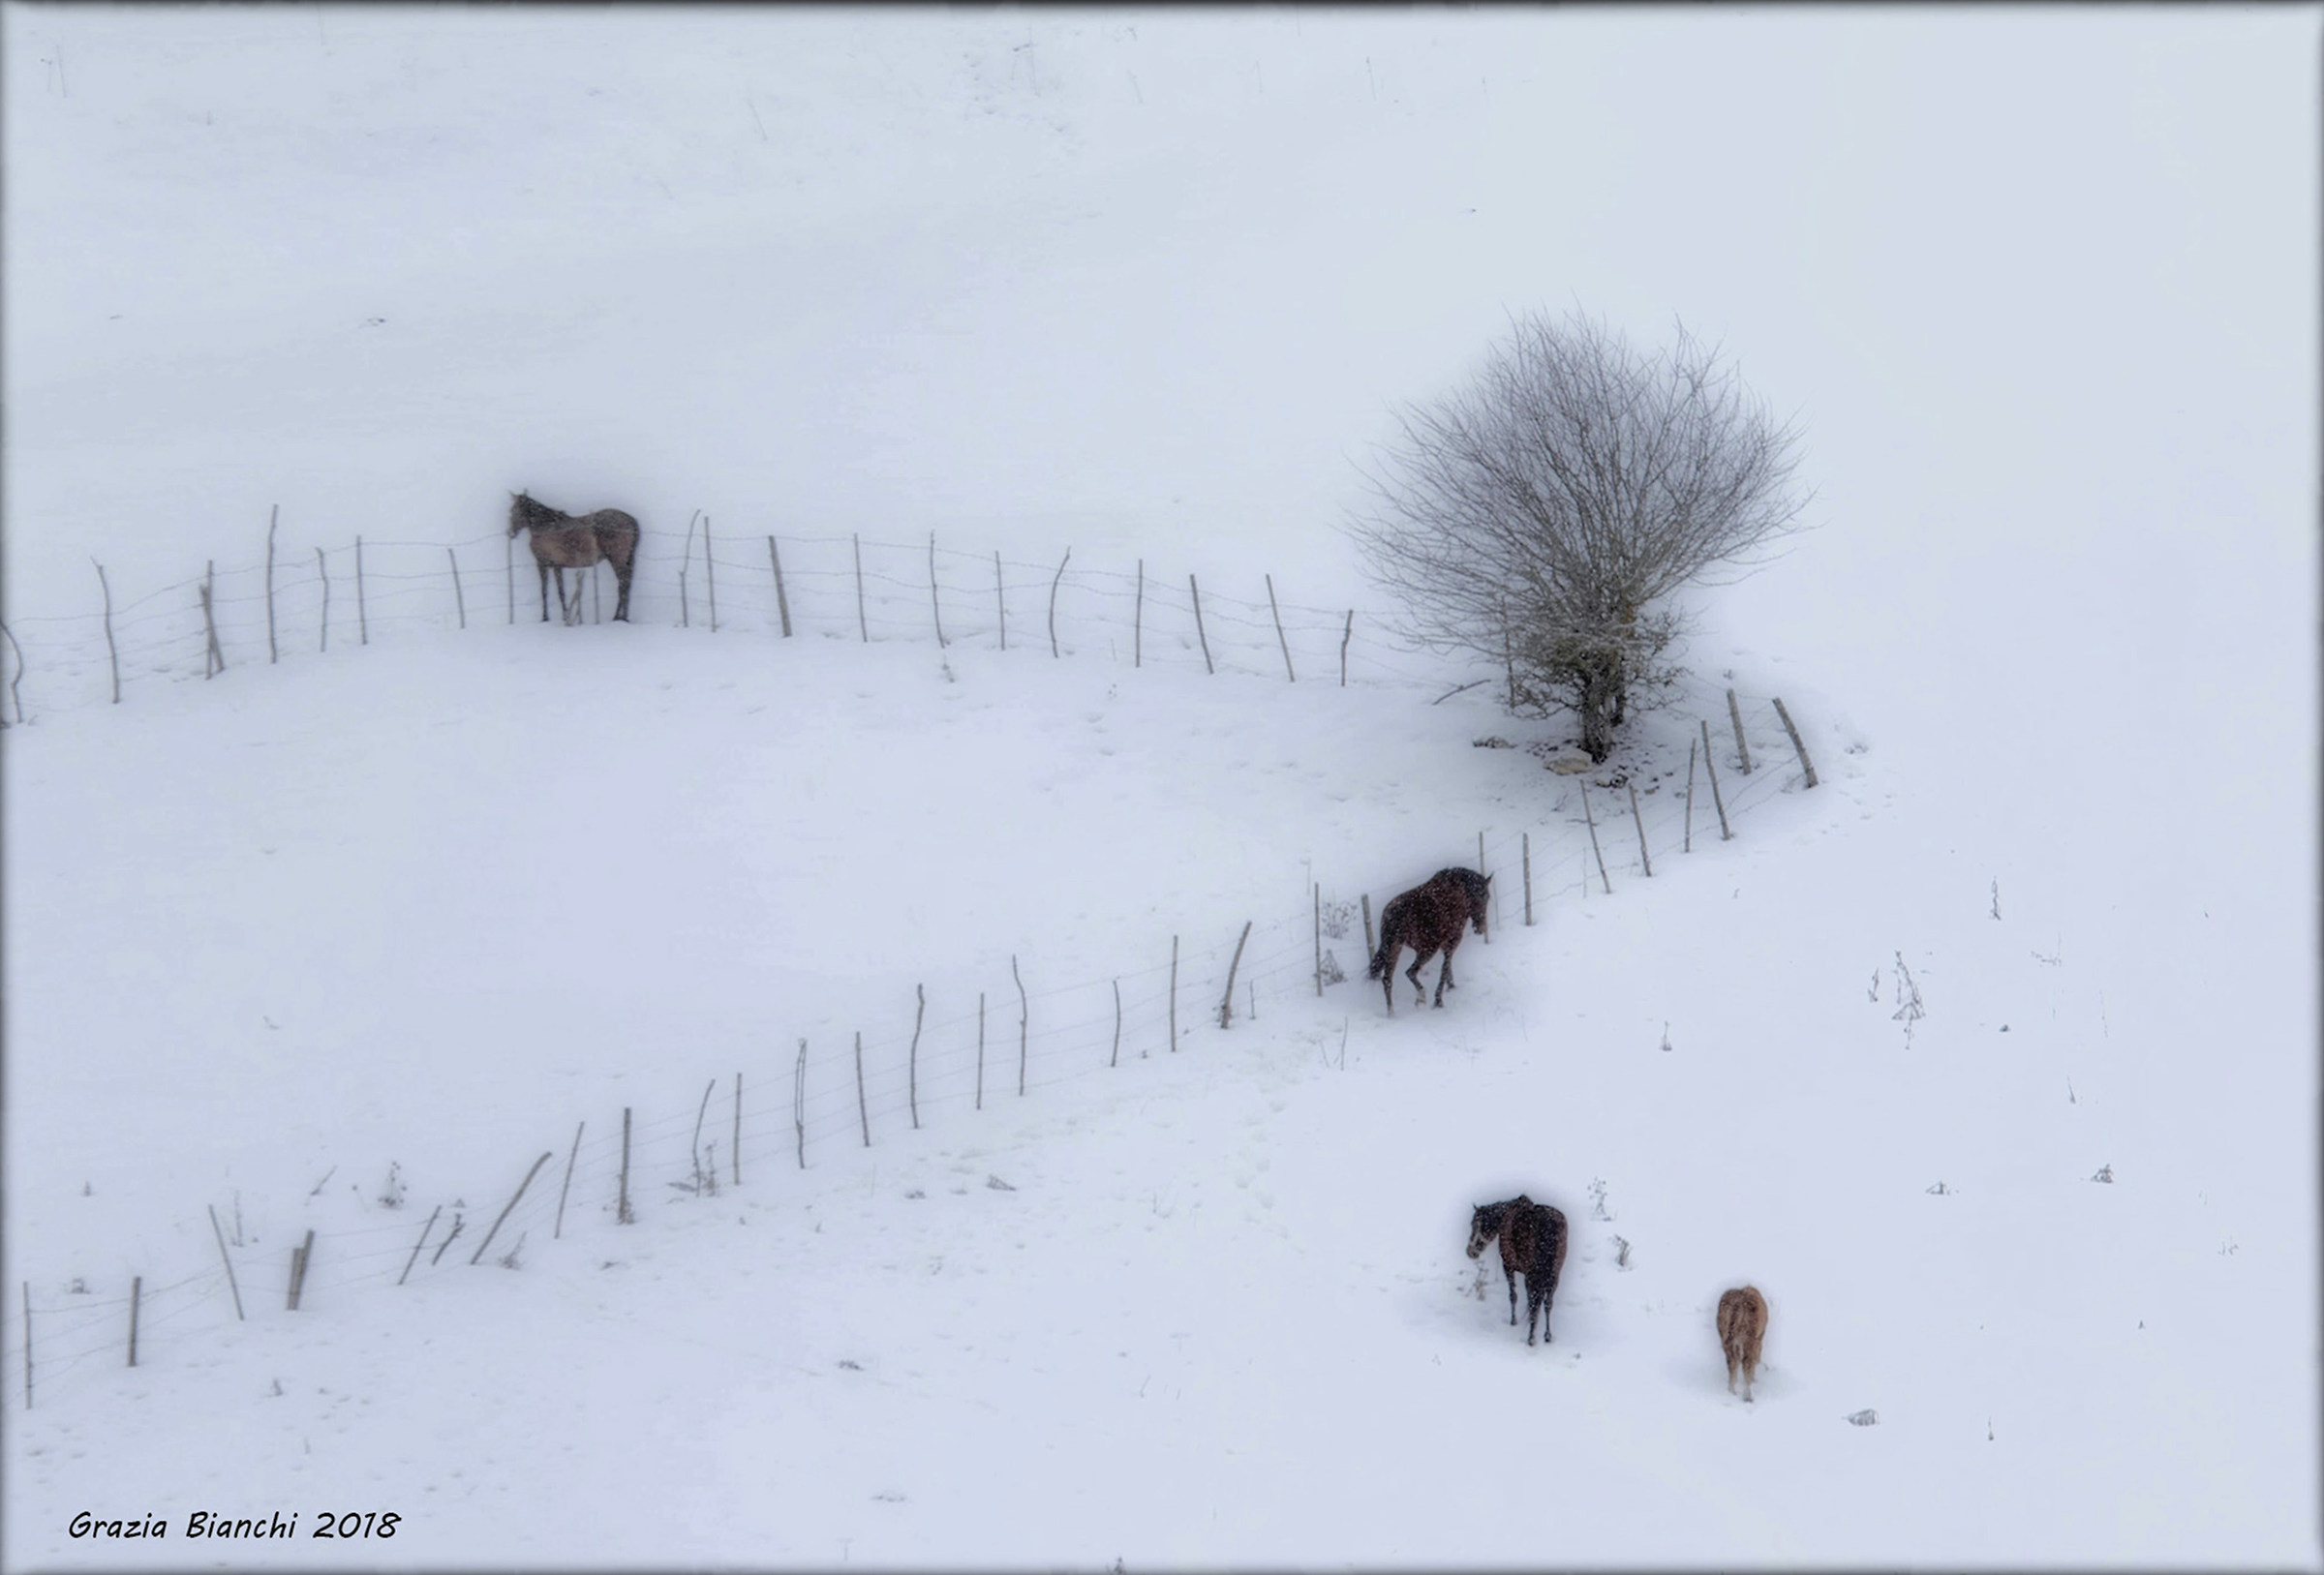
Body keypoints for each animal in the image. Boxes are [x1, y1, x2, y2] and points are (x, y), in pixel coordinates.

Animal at [508, 492, 640, 624]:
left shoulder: (542, 564)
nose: (510, 533)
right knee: (625, 586)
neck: (544, 526)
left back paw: (617, 617)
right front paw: (564, 617)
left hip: (617, 560)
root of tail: (631, 520)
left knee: (623, 585)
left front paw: (547, 618)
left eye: (513, 510)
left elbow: (545, 591)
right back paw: (623, 617)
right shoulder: (556, 566)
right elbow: (560, 592)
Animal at [1367, 867, 1491, 1013]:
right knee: (1410, 972)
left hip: (1394, 948)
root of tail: (1394, 912)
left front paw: (1451, 987)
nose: (1480, 929)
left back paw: (1391, 1013)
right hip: (1427, 949)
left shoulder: (1444, 944)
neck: (1459, 893)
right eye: (1484, 897)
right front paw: (1438, 1000)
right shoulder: (1452, 942)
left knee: (1387, 980)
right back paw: (1420, 998)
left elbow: (1447, 967)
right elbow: (1445, 968)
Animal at [1466, 1195, 1569, 1347]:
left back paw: (1531, 1338)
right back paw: (1547, 1336)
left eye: (1476, 1224)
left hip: (1532, 1276)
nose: (1470, 1252)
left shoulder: (1508, 1266)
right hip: (1554, 1275)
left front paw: (1513, 1321)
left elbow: (1513, 1296)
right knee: (1548, 1304)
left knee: (1533, 1303)